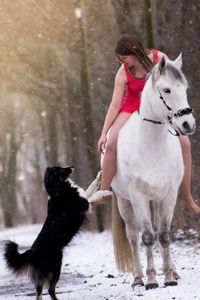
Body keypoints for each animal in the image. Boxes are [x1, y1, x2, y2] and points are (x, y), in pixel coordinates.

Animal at [3, 166, 102, 300]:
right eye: (60, 170)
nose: (71, 166)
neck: (57, 192)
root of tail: (32, 252)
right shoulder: (84, 205)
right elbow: (92, 195)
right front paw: (106, 193)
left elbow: (90, 188)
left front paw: (99, 177)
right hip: (56, 268)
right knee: (50, 290)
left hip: (44, 273)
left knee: (38, 290)